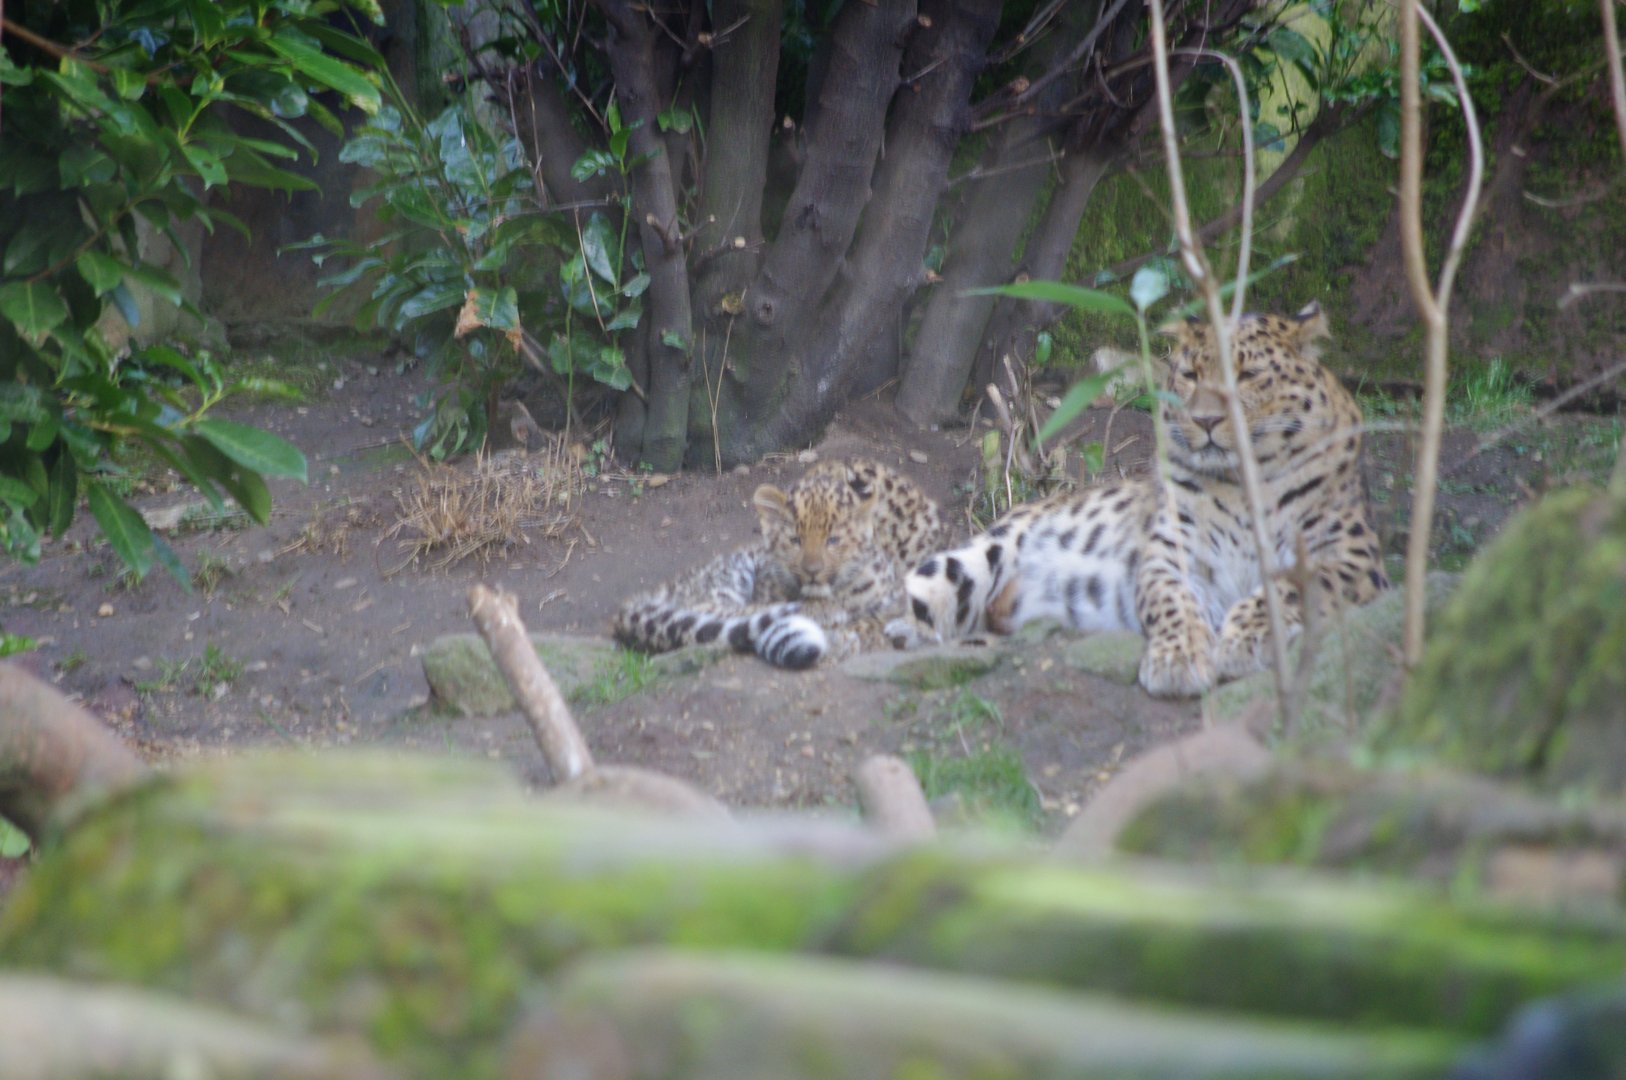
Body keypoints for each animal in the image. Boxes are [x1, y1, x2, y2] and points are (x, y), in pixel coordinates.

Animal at [614, 459, 942, 669]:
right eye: (795, 539)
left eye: (833, 540)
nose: (812, 572)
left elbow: (881, 620)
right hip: (730, 575)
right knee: (718, 611)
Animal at [892, 301, 1389, 698]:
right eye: (1189, 376)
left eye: (1247, 376)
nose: (1205, 420)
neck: (1242, 482)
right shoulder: (1171, 555)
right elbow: (1173, 601)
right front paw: (1177, 659)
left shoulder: (1352, 555)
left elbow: (1290, 586)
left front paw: (1243, 639)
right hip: (970, 560)